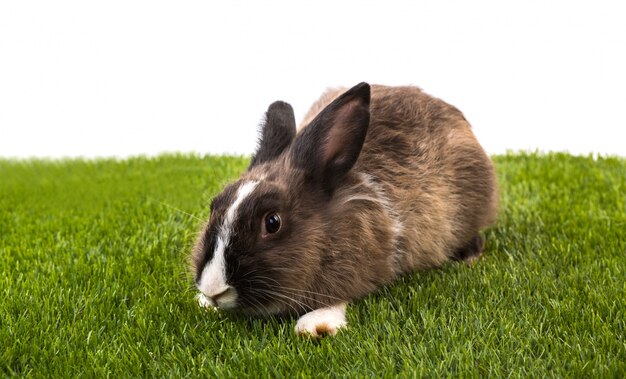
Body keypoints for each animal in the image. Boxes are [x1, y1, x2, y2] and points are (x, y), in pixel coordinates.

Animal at [190, 83, 498, 338]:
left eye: (273, 222)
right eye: (214, 205)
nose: (213, 289)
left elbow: (340, 296)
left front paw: (316, 325)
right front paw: (203, 302)